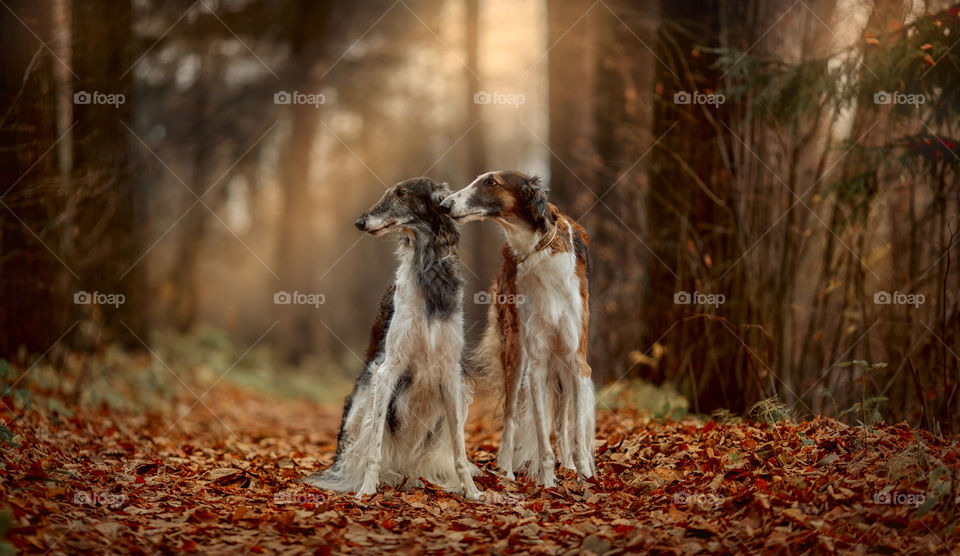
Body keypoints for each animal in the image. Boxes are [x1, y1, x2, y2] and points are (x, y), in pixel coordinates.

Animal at [440, 170, 592, 486]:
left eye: (491, 182)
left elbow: (577, 433)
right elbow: (542, 439)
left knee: (563, 421)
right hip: (516, 352)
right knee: (511, 415)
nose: (444, 205)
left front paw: (584, 475)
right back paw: (506, 470)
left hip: (562, 363)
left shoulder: (577, 361)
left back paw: (569, 465)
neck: (537, 249)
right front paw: (549, 483)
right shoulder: (538, 364)